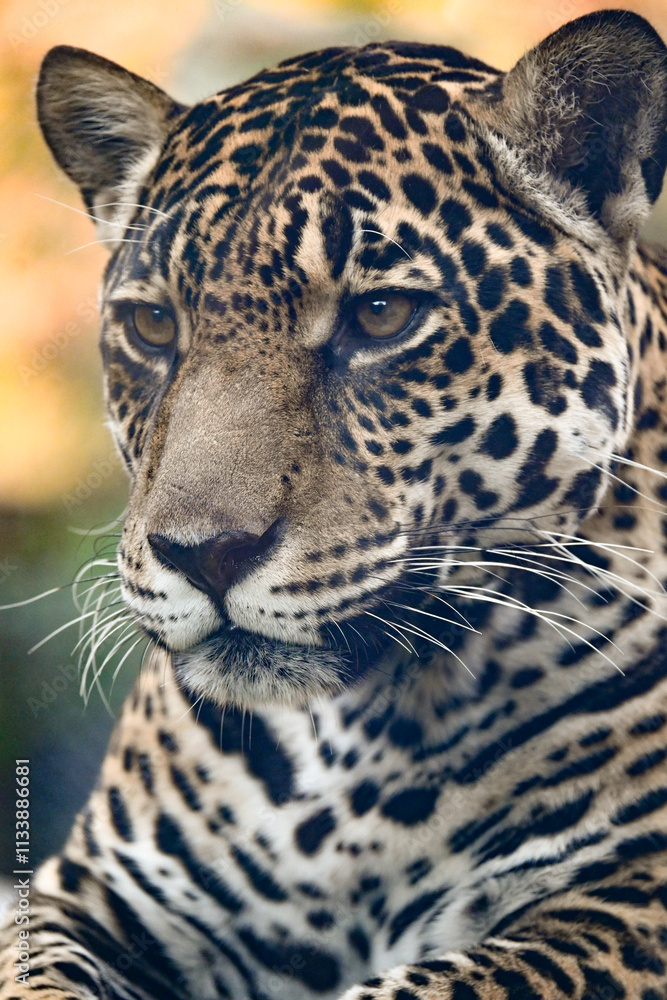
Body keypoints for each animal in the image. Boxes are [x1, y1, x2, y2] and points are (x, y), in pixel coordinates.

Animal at [5, 7, 667, 999]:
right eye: (154, 325)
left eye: (382, 315)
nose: (201, 553)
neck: (351, 749)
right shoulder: (88, 893)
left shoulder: (624, 905)